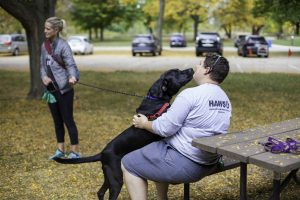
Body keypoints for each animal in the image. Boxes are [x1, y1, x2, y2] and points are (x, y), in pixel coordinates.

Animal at [53, 67, 195, 200]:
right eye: (177, 72)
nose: (191, 69)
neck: (156, 99)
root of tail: (102, 153)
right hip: (116, 179)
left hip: (109, 176)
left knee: (100, 192)